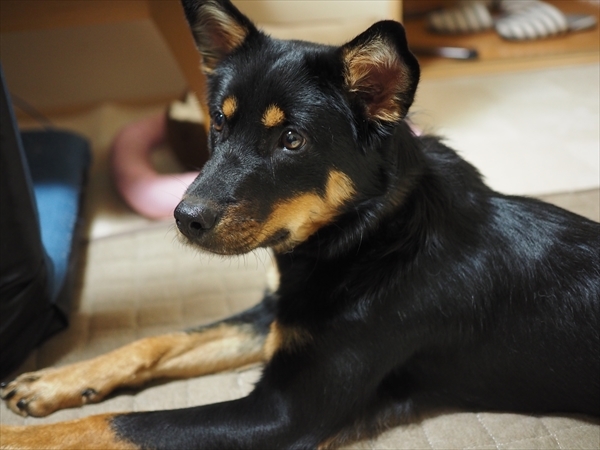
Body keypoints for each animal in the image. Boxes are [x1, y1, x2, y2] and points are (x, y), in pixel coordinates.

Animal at [1, 0, 599, 448]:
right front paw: (55, 380)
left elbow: (113, 426)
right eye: (219, 122)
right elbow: (156, 341)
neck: (364, 236)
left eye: (292, 140)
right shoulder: (278, 314)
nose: (183, 218)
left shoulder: (282, 413)